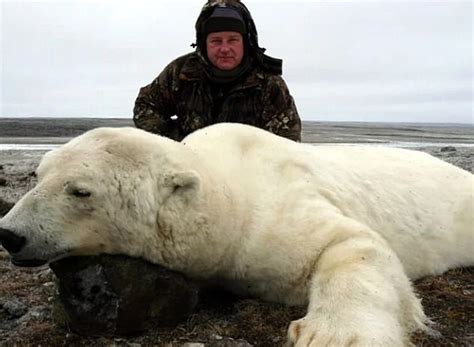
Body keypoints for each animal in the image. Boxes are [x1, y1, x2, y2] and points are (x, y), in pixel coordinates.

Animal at [0, 123, 474, 346]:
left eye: (80, 190)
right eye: (38, 175)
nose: (10, 234)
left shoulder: (273, 211)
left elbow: (351, 242)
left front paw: (334, 334)